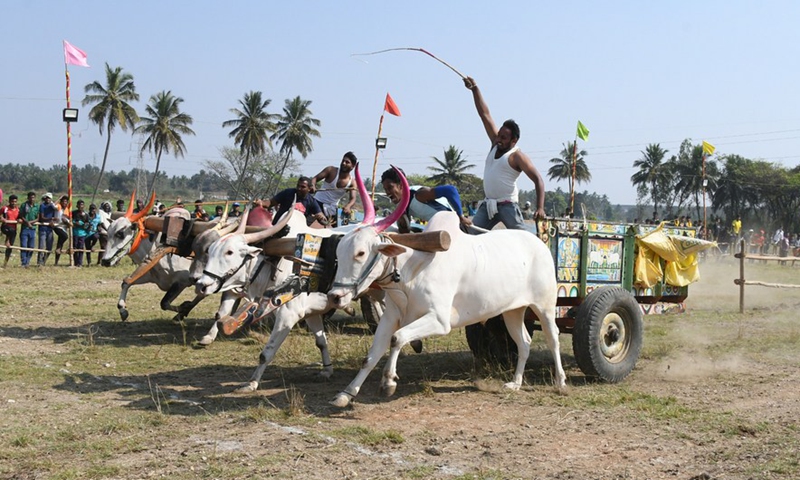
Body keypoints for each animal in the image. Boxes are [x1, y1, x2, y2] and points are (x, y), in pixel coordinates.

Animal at [326, 167, 568, 406]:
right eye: (338, 251)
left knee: (553, 338)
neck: (412, 271)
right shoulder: (390, 316)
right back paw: (516, 383)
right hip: (512, 311)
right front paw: (346, 394)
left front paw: (388, 382)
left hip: (545, 306)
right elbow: (371, 355)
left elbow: (398, 338)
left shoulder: (440, 321)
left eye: (360, 253)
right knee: (524, 343)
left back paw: (560, 382)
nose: (335, 296)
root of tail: (539, 243)